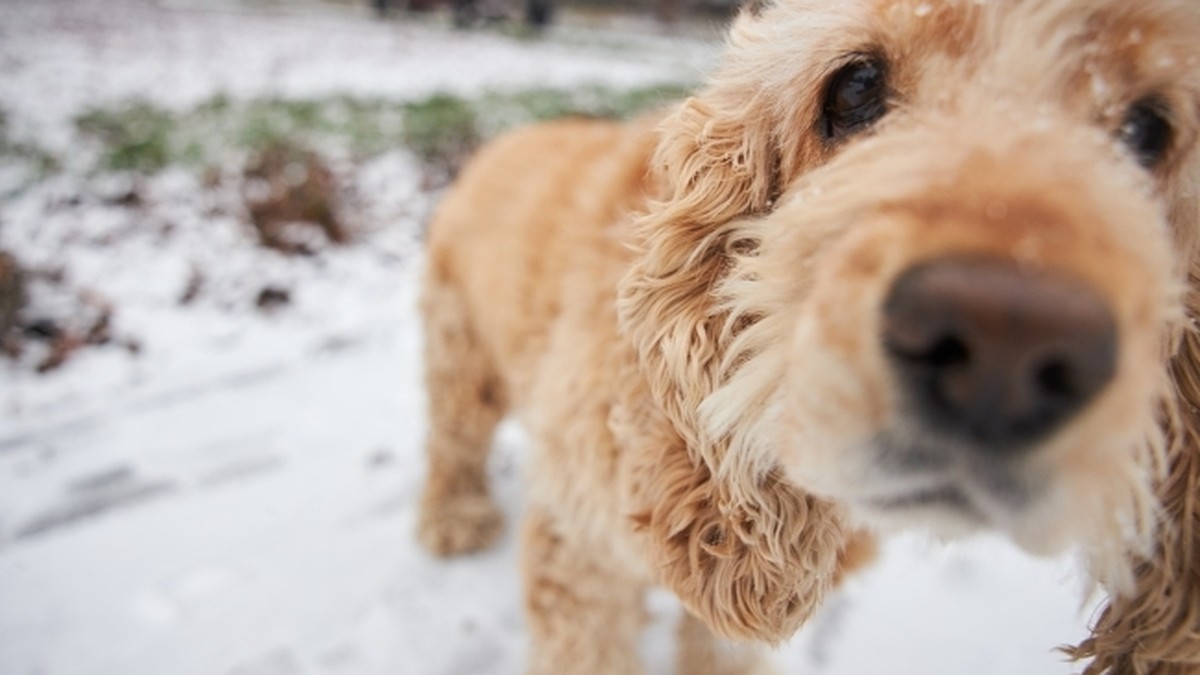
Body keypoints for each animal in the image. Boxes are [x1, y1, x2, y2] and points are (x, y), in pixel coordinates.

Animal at [415, 2, 1200, 667]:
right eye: (853, 89)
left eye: (1148, 130)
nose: (1004, 346)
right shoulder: (579, 553)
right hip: (463, 354)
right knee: (454, 438)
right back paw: (453, 521)